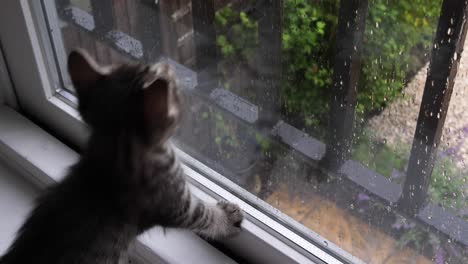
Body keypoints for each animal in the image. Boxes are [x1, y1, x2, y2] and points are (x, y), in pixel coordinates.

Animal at [0, 50, 245, 264]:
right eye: (172, 86)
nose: (167, 65)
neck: (115, 151)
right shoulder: (176, 205)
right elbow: (204, 215)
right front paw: (227, 217)